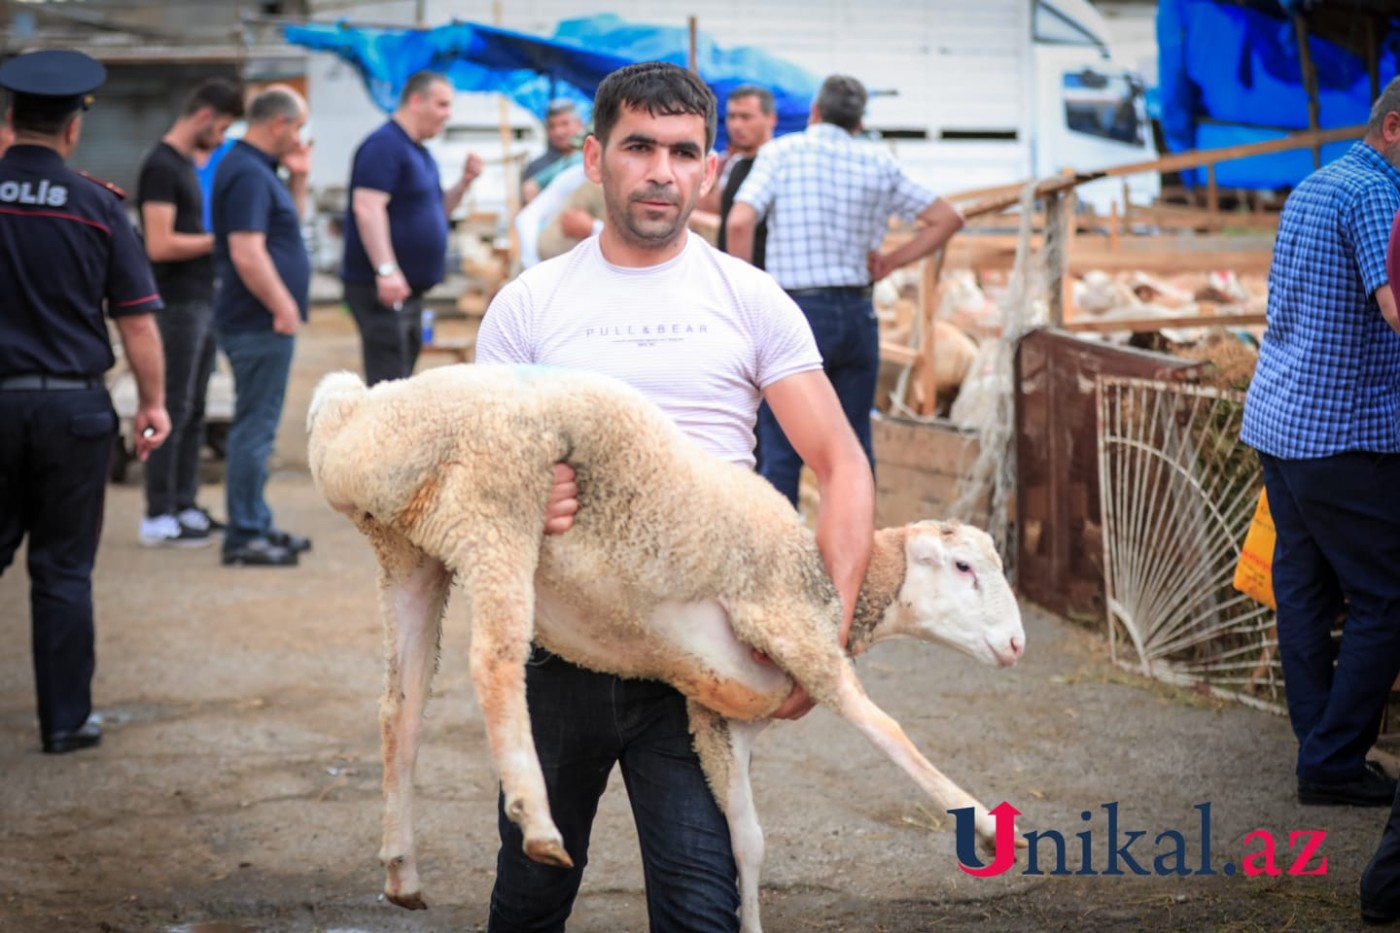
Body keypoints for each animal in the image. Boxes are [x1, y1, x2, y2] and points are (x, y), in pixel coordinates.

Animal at [309, 364, 1030, 930]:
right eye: (964, 566)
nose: (1018, 643)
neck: (825, 573)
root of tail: (355, 415)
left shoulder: (716, 719)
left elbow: (747, 841)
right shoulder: (795, 628)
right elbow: (889, 729)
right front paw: (988, 825)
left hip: (411, 550)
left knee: (399, 710)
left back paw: (401, 868)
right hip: (501, 501)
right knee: (493, 665)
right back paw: (537, 821)